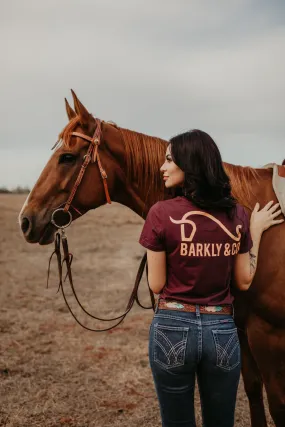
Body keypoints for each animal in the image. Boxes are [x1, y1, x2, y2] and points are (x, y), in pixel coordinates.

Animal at [18, 92, 284, 426]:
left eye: (67, 157)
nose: (25, 220)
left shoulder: (268, 334)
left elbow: (277, 404)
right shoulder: (241, 328)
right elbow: (252, 391)